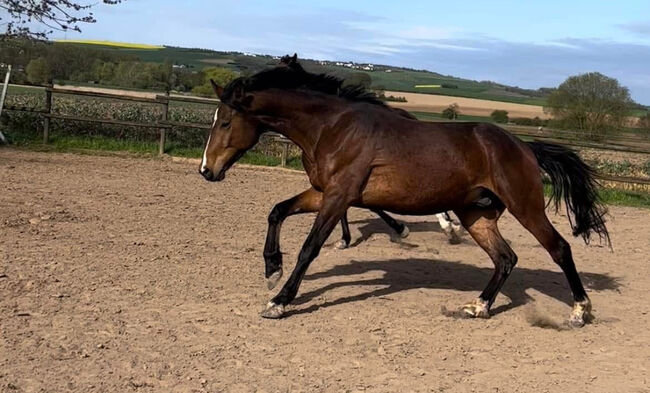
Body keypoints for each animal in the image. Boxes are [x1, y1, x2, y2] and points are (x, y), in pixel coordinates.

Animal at [199, 54, 608, 324]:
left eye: (226, 121)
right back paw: (477, 306)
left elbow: (309, 248)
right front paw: (272, 267)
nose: (207, 170)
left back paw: (580, 311)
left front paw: (280, 301)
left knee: (559, 248)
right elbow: (277, 210)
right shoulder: (323, 192)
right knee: (505, 258)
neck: (332, 127)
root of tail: (524, 146)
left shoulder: (339, 195)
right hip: (476, 214)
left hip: (526, 207)